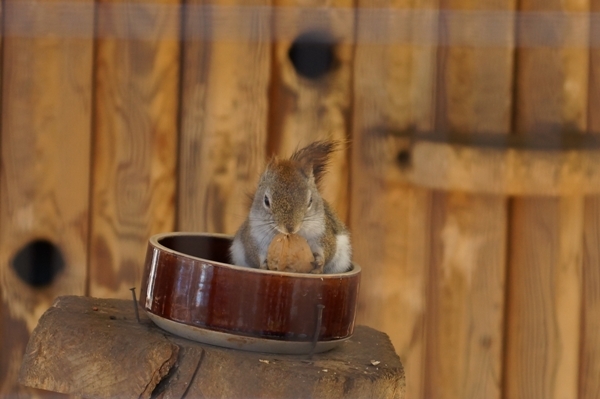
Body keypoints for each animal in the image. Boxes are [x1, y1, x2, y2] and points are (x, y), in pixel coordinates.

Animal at [230, 141, 352, 276]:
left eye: (310, 201)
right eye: (266, 200)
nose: (290, 228)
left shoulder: (323, 231)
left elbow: (329, 248)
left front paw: (320, 261)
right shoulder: (254, 237)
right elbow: (253, 252)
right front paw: (263, 264)